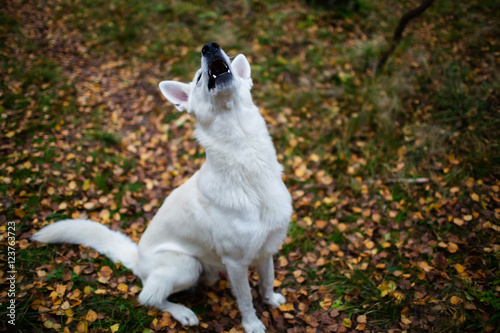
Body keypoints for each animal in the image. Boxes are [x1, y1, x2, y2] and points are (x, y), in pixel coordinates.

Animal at [33, 42, 292, 332]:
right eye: (199, 79)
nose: (210, 47)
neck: (247, 160)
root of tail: (138, 259)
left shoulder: (266, 249)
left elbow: (268, 279)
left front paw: (271, 300)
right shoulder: (236, 262)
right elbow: (245, 298)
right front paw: (252, 324)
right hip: (187, 265)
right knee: (148, 297)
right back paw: (183, 312)